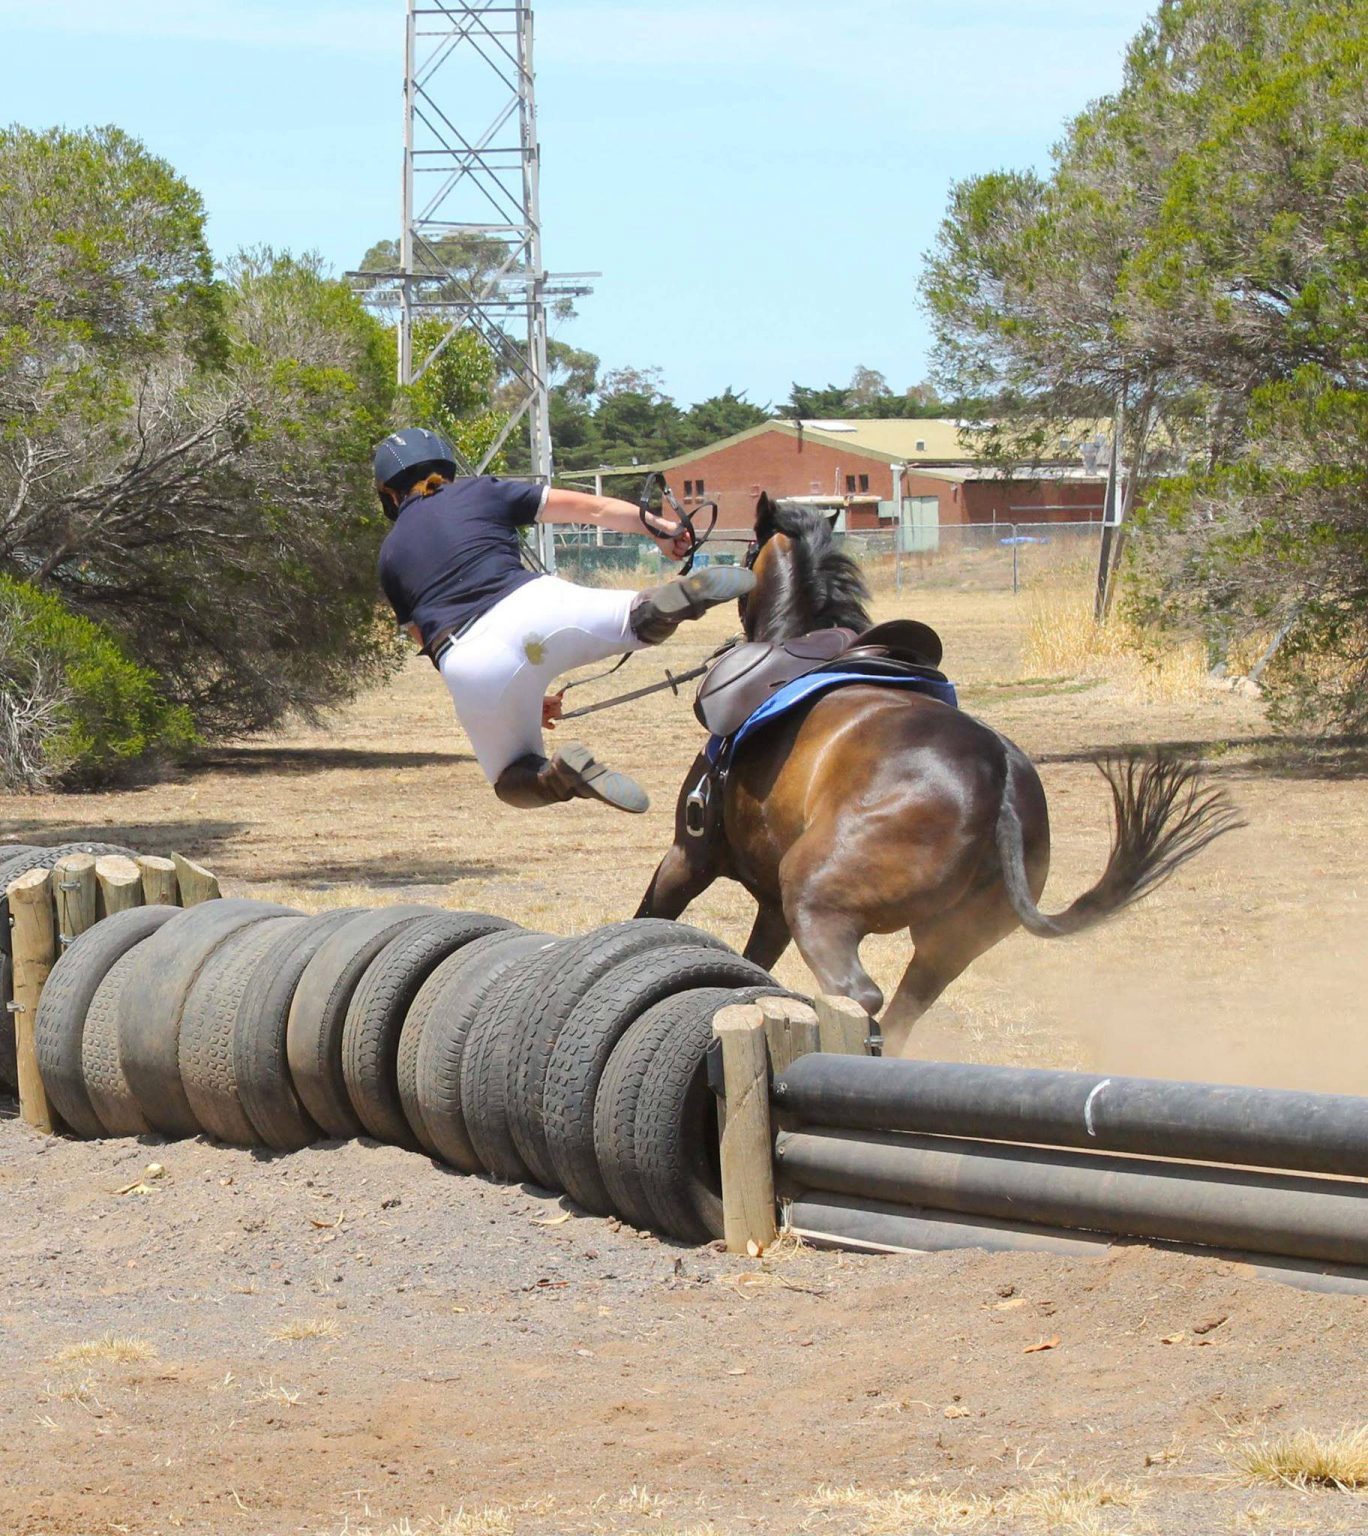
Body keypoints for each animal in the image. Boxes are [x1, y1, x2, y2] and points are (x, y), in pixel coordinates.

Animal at [632, 497, 1240, 1050]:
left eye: (748, 551)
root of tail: (999, 780)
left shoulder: (691, 858)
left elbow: (651, 916)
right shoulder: (771, 907)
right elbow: (751, 958)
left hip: (816, 901)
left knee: (859, 995)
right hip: (947, 946)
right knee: (900, 1016)